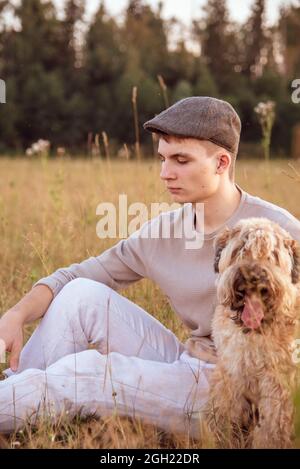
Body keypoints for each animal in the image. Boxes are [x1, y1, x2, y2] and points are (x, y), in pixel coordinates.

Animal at [202, 218, 300, 448]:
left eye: (273, 255)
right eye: (240, 250)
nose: (253, 276)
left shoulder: (278, 388)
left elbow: (273, 429)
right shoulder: (231, 375)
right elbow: (224, 411)